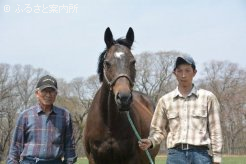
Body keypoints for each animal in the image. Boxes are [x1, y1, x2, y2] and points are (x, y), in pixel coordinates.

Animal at [83, 27, 160, 163]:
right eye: (107, 63)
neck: (109, 123)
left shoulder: (131, 159)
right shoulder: (94, 159)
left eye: (133, 62)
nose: (124, 98)